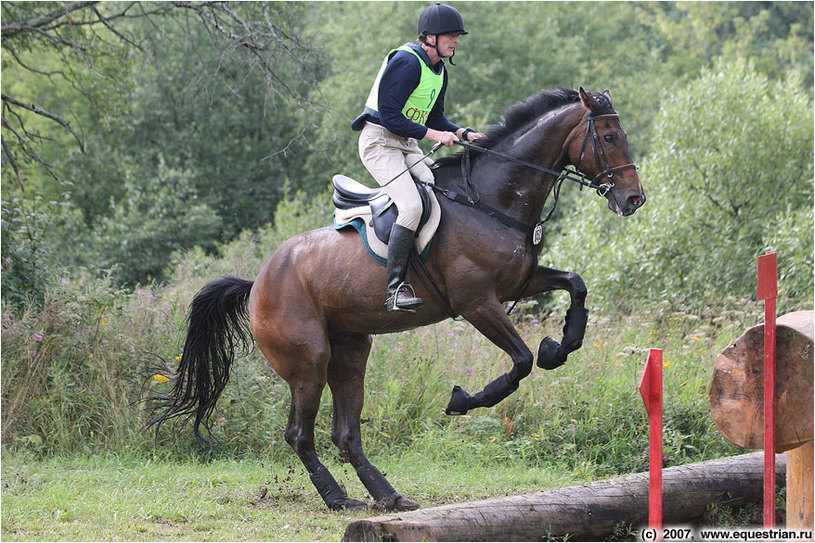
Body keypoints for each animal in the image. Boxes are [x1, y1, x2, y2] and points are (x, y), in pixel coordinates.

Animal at [145, 87, 644, 512]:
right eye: (608, 137)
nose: (633, 200)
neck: (491, 201)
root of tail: (259, 282)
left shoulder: (516, 283)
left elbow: (575, 285)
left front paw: (560, 345)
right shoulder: (477, 302)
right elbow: (520, 362)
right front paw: (464, 399)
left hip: (350, 352)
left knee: (346, 434)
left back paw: (388, 495)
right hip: (309, 360)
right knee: (299, 435)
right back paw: (339, 499)